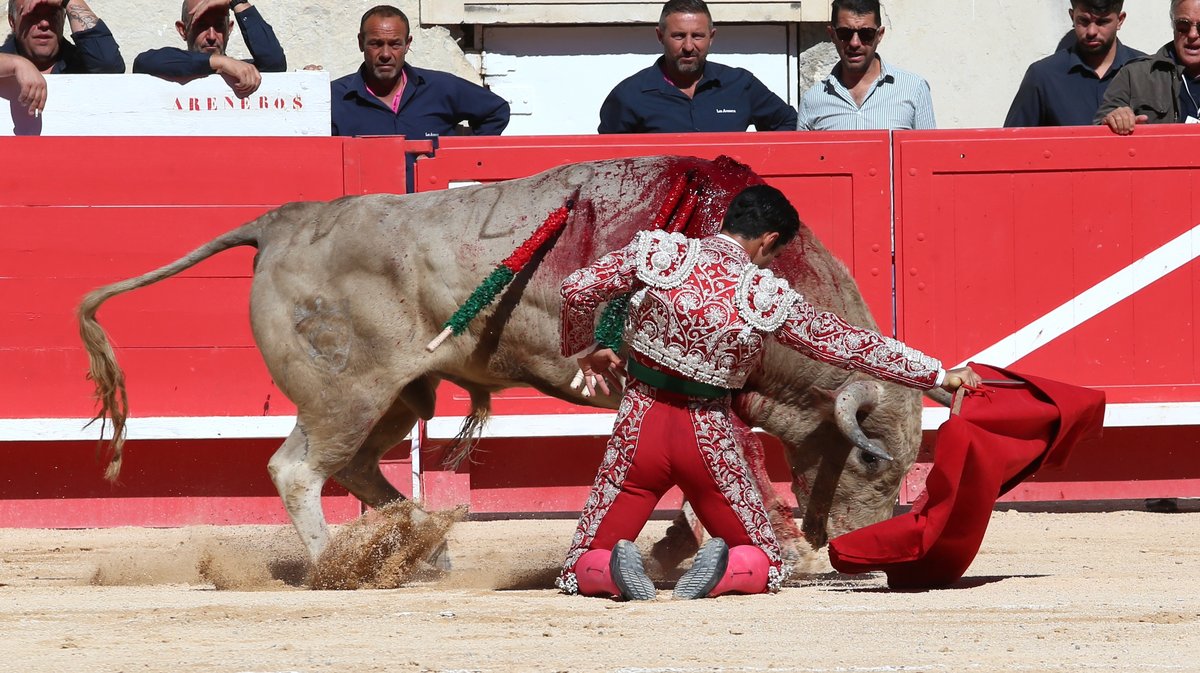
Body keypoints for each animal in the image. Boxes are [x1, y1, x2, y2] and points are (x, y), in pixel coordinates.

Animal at [79, 157, 936, 571]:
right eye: (875, 462)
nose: (862, 545)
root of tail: (284, 218)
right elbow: (730, 469)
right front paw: (742, 543)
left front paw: (677, 544)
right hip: (345, 390)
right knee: (297, 468)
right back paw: (335, 567)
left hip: (399, 396)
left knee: (352, 466)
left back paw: (426, 549)